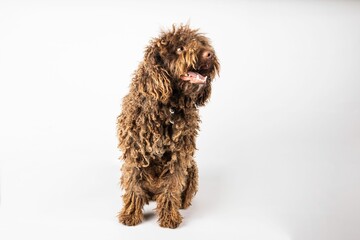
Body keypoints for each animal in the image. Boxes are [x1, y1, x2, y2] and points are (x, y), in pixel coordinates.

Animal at [117, 24, 219, 229]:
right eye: (179, 48)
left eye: (201, 42)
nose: (210, 54)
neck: (168, 106)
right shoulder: (135, 151)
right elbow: (134, 184)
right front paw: (130, 214)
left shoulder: (179, 156)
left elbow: (171, 186)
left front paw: (169, 216)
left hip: (192, 168)